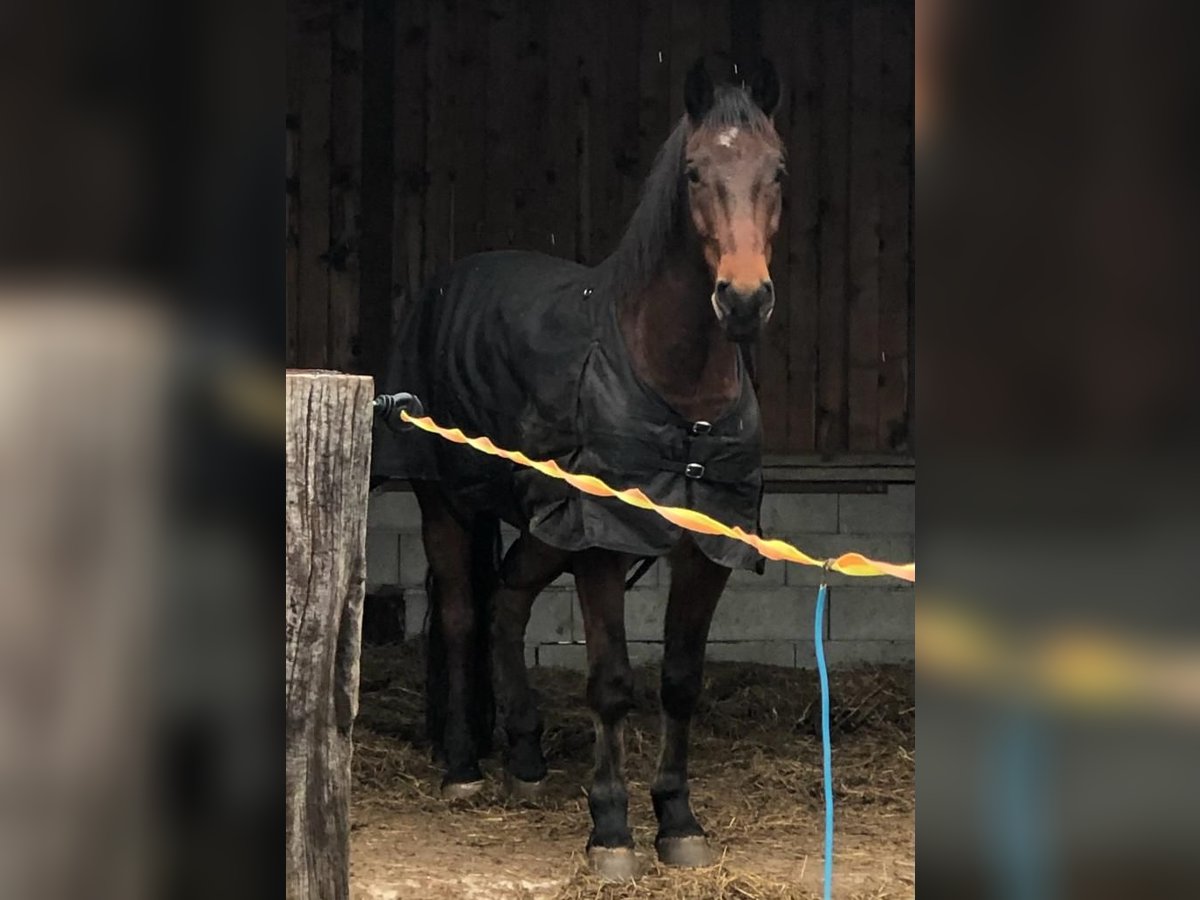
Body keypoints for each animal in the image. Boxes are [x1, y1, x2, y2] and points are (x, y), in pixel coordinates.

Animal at [376, 58, 787, 883]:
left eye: (778, 171)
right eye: (694, 173)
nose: (743, 299)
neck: (679, 394)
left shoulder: (708, 548)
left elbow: (680, 682)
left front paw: (679, 823)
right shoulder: (603, 541)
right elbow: (612, 685)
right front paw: (612, 833)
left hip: (544, 525)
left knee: (507, 600)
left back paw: (526, 756)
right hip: (448, 502)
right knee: (464, 612)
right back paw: (464, 766)